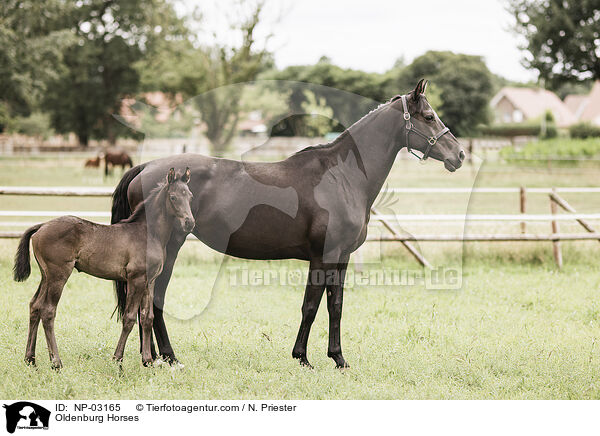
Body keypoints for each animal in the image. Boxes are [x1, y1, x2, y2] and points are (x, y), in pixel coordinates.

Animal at [13, 167, 195, 368]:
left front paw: (147, 361)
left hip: (46, 275)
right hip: (58, 275)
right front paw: (118, 359)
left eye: (190, 196)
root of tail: (41, 226)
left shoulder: (150, 281)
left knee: (35, 306)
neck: (148, 233)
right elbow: (129, 318)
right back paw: (56, 363)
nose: (190, 222)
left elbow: (147, 317)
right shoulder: (136, 279)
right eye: (173, 197)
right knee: (47, 310)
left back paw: (30, 359)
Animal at [112, 78, 466, 368]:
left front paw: (338, 359)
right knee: (155, 300)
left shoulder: (341, 258)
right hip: (169, 248)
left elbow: (335, 306)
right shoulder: (323, 256)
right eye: (429, 116)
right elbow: (310, 306)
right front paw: (303, 358)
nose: (459, 155)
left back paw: (155, 357)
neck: (342, 176)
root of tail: (145, 168)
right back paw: (168, 357)